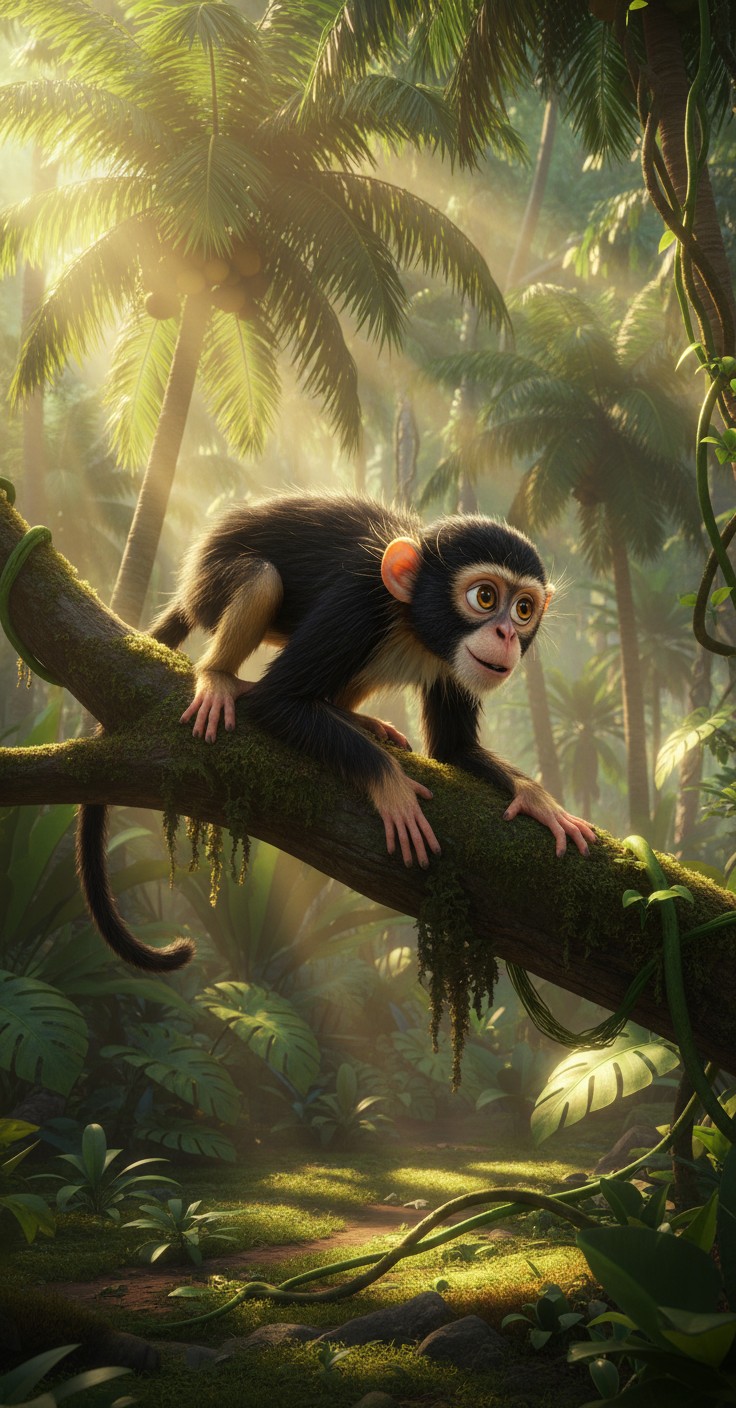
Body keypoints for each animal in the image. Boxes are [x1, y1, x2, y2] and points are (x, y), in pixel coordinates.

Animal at [76, 494, 596, 973]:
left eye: (524, 608)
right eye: (485, 598)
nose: (507, 634)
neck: (413, 622)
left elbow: (455, 750)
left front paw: (537, 799)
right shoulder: (357, 603)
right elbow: (276, 700)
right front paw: (390, 786)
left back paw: (349, 716)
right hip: (209, 586)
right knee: (262, 578)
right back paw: (218, 676)